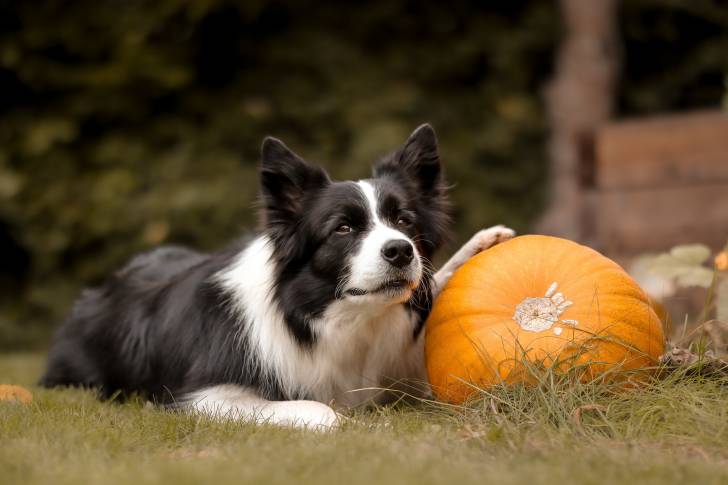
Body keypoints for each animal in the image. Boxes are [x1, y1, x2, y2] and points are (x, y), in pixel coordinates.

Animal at [39, 125, 516, 428]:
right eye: (343, 228)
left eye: (404, 221)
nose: (400, 251)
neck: (329, 316)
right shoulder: (200, 397)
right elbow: (320, 410)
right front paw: (348, 421)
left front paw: (476, 247)